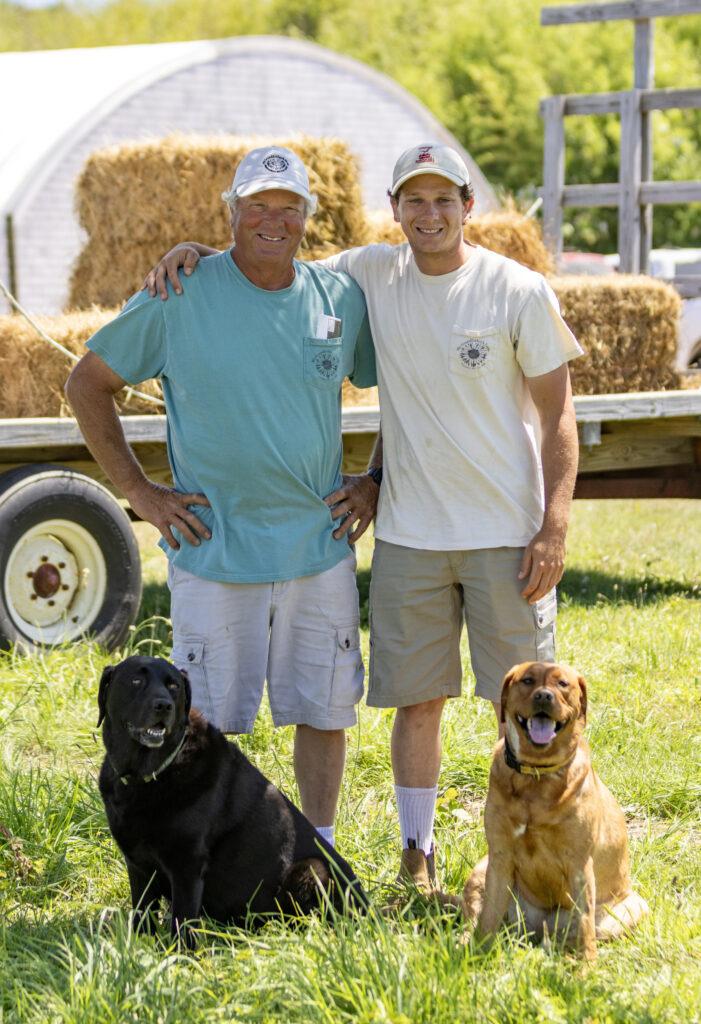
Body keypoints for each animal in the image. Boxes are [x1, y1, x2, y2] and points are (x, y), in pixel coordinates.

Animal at [97, 655, 366, 942]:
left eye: (173, 686)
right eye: (136, 680)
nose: (164, 706)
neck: (149, 773)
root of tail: (371, 912)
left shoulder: (187, 865)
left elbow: (182, 923)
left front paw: (177, 953)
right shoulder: (137, 864)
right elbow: (141, 914)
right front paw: (137, 946)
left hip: (312, 869)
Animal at [458, 663, 646, 958]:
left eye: (562, 684)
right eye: (527, 681)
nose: (544, 696)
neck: (537, 774)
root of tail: (540, 929)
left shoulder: (579, 863)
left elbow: (585, 923)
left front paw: (586, 966)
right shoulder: (500, 856)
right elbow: (488, 920)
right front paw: (479, 954)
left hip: (634, 907)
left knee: (578, 933)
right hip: (481, 870)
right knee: (475, 920)